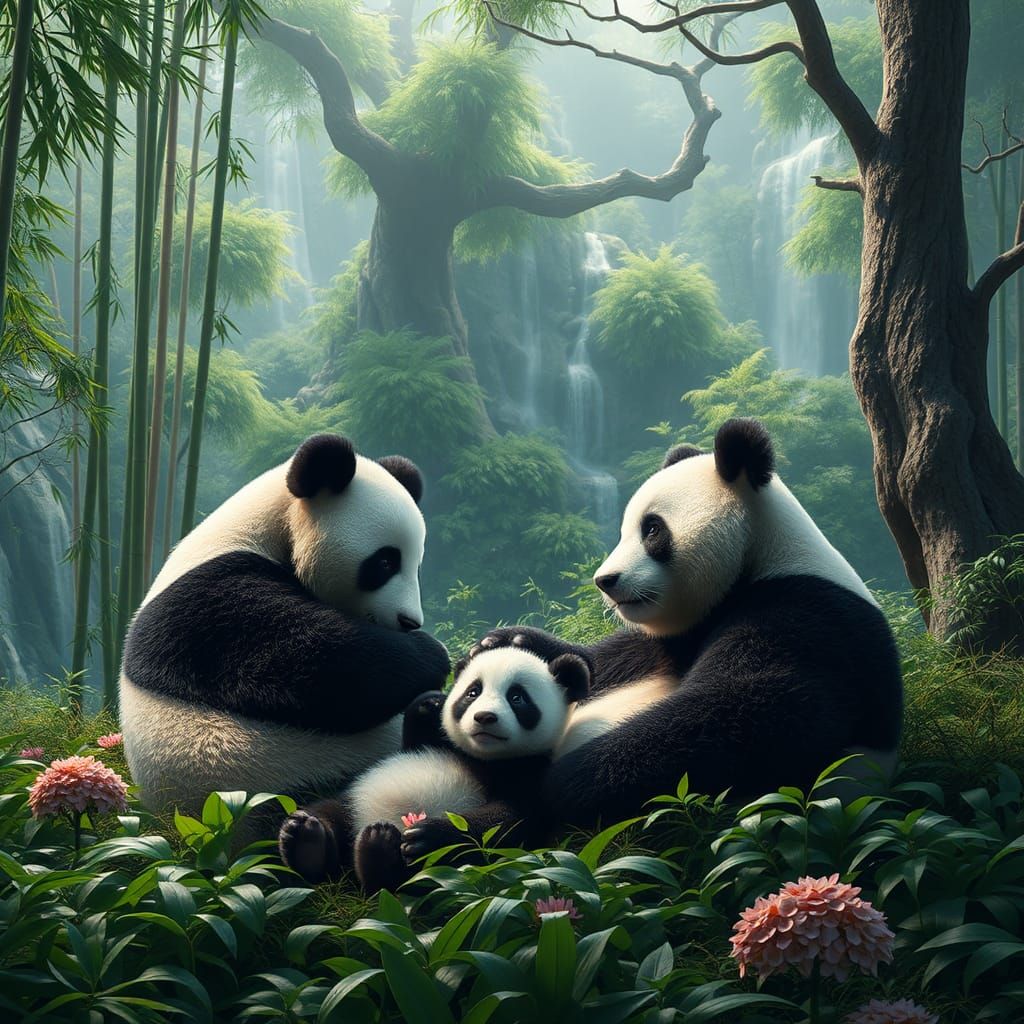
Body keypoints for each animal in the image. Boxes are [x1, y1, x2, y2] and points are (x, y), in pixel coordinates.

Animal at [120, 434, 451, 821]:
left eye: (416, 565)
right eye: (385, 562)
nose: (409, 621)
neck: (270, 523)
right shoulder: (209, 603)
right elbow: (316, 662)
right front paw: (432, 653)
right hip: (275, 776)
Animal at [278, 645, 590, 890]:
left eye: (517, 697)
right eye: (473, 692)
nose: (484, 717)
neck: (482, 757)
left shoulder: (531, 773)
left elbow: (509, 820)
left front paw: (429, 838)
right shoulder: (432, 744)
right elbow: (415, 736)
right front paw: (430, 703)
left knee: (401, 884)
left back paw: (378, 850)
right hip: (353, 802)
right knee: (329, 811)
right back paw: (307, 840)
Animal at [474, 418, 904, 829]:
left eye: (651, 529)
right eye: (624, 530)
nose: (605, 580)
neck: (764, 556)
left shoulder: (810, 619)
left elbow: (753, 714)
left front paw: (558, 780)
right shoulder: (676, 635)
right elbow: (609, 659)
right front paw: (507, 641)